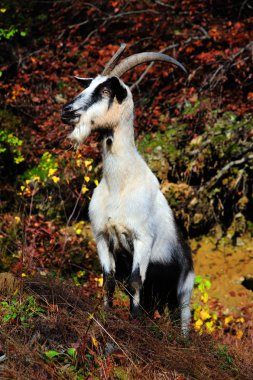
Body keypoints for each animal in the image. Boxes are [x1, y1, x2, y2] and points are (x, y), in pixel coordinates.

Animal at [61, 45, 196, 336]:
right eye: (87, 85)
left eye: (105, 91)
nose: (66, 111)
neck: (119, 186)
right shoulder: (102, 236)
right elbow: (108, 280)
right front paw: (105, 315)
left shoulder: (142, 239)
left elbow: (135, 281)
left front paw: (133, 324)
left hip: (186, 289)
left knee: (183, 316)